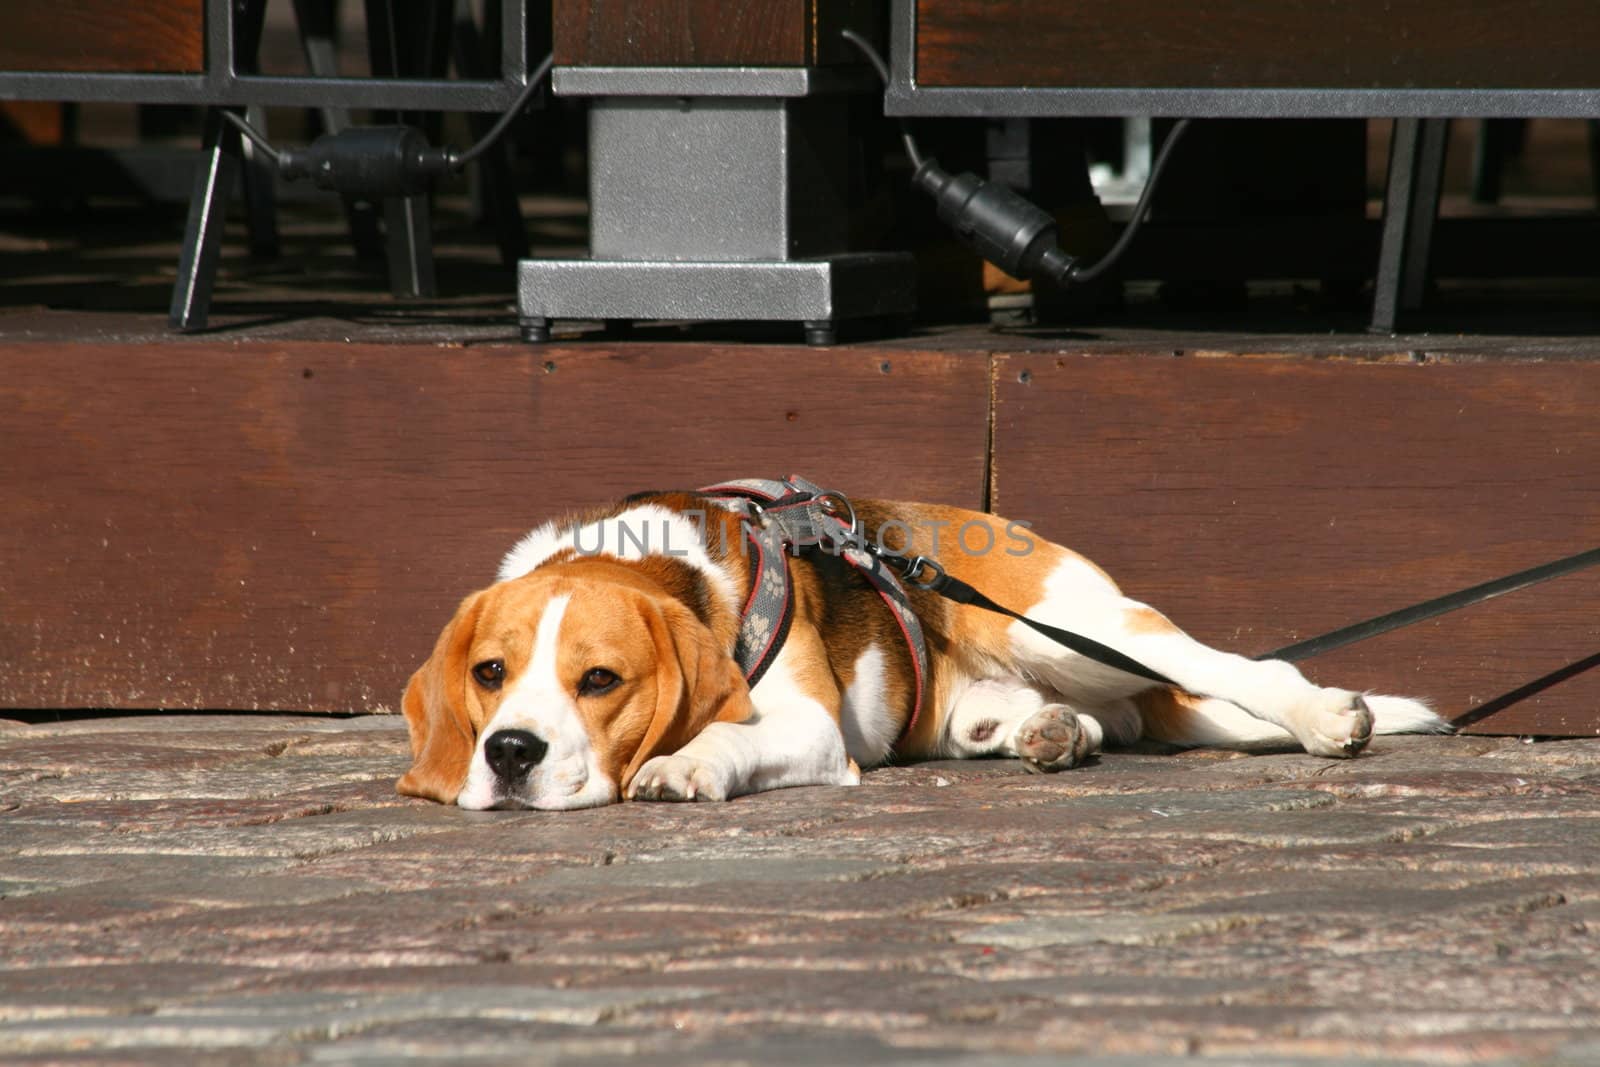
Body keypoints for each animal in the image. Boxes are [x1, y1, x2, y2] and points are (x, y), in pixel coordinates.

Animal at [400, 486, 1452, 809]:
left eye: (600, 680)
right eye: (490, 674)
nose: (509, 754)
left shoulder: (809, 726)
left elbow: (727, 734)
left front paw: (684, 763)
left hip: (1071, 626)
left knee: (1235, 674)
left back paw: (1325, 714)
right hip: (991, 694)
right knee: (1081, 719)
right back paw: (1052, 733)